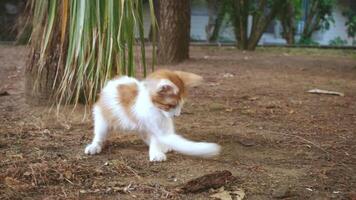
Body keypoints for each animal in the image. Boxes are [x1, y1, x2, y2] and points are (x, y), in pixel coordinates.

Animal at [85, 69, 221, 162]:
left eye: (181, 105)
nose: (177, 115)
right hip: (102, 118)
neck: (155, 108)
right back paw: (94, 146)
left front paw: (158, 149)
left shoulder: (162, 123)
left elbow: (159, 137)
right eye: (171, 105)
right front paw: (156, 153)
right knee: (99, 134)